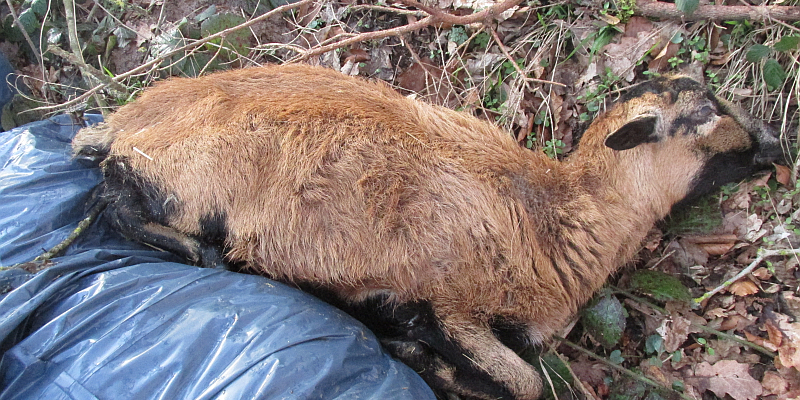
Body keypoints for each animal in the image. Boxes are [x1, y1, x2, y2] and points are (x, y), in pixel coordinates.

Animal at [72, 64, 784, 398]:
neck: (559, 216)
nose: (776, 146)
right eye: (703, 112)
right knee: (113, 199)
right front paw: (414, 356)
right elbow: (524, 383)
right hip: (187, 183)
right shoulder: (451, 304)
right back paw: (207, 256)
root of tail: (123, 122)